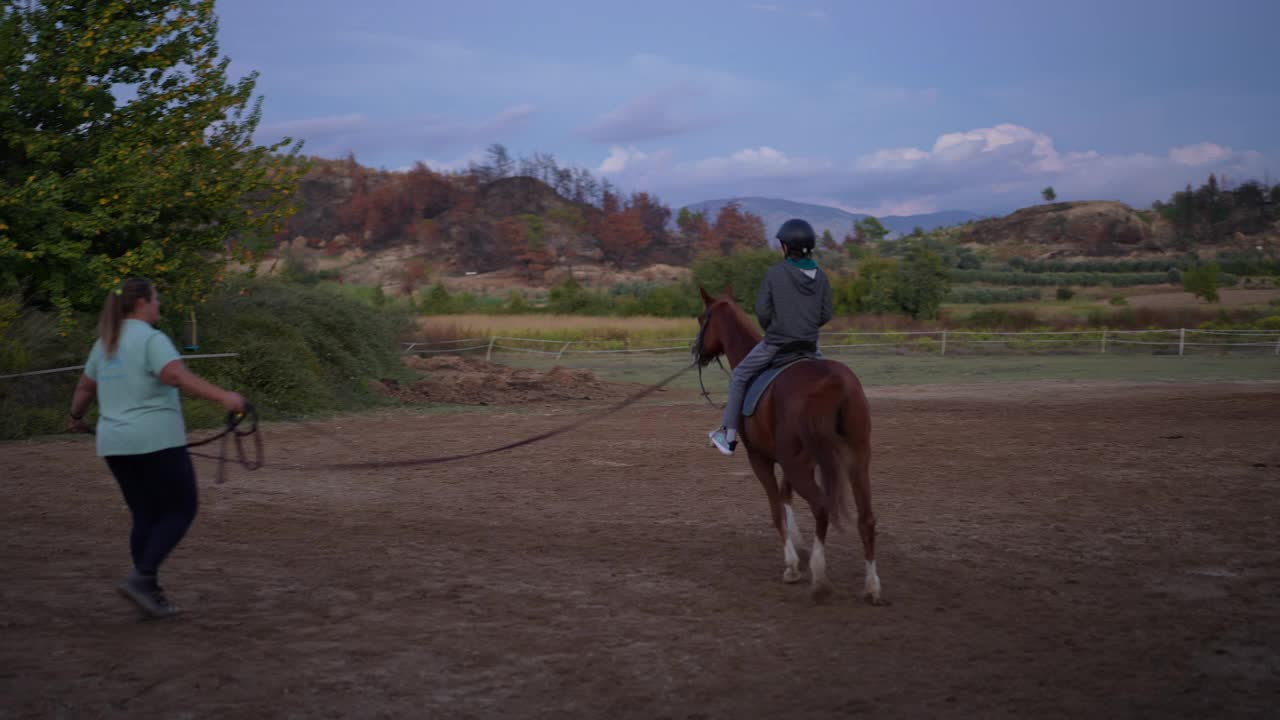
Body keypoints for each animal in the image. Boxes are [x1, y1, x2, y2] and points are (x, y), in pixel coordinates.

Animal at [696, 283, 885, 602]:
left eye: (701, 319)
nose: (696, 352)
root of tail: (836, 382)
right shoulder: (794, 461)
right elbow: (786, 499)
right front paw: (800, 546)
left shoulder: (762, 458)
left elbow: (776, 509)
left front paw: (793, 565)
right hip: (857, 457)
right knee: (866, 518)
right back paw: (871, 586)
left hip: (801, 462)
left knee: (821, 506)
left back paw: (819, 576)